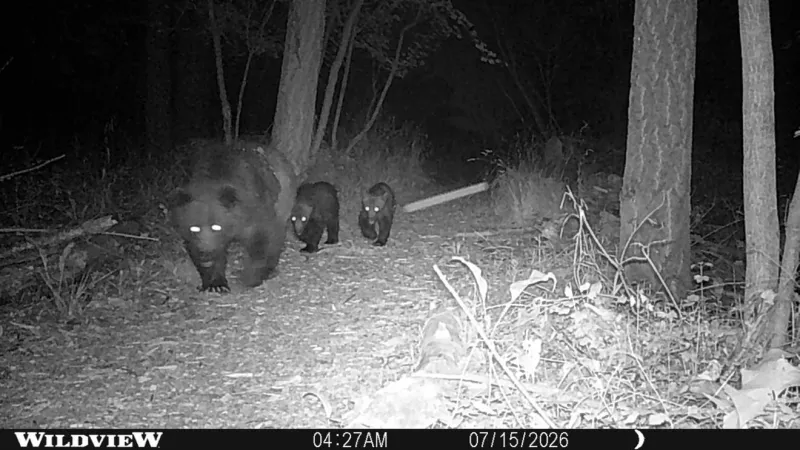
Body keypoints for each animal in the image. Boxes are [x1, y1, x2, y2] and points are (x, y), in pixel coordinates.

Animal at [169, 141, 295, 293]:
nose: (206, 253)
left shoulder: (254, 212)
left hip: (284, 198)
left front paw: (251, 278)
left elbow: (264, 240)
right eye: (194, 228)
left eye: (216, 226)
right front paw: (216, 283)